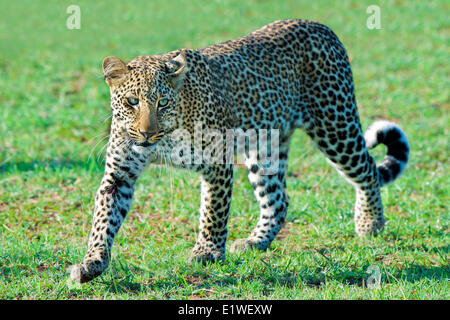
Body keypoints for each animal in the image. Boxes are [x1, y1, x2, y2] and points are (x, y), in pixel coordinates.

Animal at [69, 18, 408, 282]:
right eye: (132, 102)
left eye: (162, 102)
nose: (146, 132)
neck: (165, 137)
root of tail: (321, 27)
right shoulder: (120, 174)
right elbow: (103, 219)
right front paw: (92, 262)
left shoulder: (216, 164)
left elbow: (213, 213)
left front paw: (207, 253)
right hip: (265, 148)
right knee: (279, 199)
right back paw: (255, 242)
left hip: (334, 126)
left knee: (367, 170)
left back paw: (370, 223)